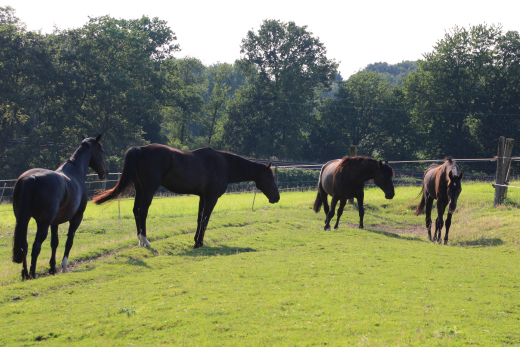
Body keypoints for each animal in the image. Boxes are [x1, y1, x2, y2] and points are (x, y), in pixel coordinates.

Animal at [11, 135, 108, 282]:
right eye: (101, 150)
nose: (105, 172)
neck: (75, 172)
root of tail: (30, 178)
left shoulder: (54, 222)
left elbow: (54, 243)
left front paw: (52, 268)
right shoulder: (76, 218)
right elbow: (69, 241)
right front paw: (64, 266)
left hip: (23, 219)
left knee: (24, 245)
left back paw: (25, 273)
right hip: (43, 223)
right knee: (36, 246)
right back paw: (33, 273)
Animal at [93, 145, 280, 249]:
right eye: (271, 177)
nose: (277, 198)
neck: (224, 165)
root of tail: (139, 149)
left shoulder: (202, 197)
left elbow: (199, 219)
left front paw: (197, 241)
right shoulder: (211, 198)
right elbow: (205, 219)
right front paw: (199, 243)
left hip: (140, 190)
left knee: (135, 210)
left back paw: (140, 240)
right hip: (149, 190)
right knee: (142, 211)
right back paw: (145, 240)